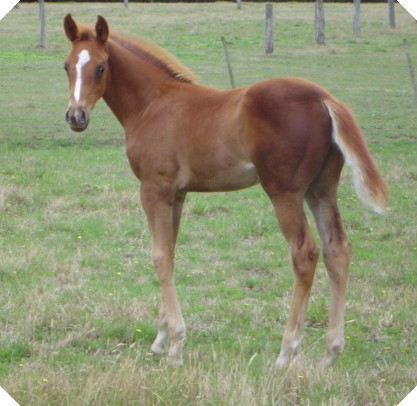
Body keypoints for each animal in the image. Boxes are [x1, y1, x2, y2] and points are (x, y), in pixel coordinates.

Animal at [62, 15, 386, 368]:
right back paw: (330, 353)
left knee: (305, 253)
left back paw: (286, 352)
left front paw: (175, 346)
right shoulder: (177, 194)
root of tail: (325, 99)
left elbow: (160, 256)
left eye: (101, 67)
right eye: (66, 66)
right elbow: (170, 252)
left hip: (284, 191)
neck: (152, 104)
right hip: (321, 188)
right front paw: (162, 339)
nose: (76, 117)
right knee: (337, 249)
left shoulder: (154, 189)